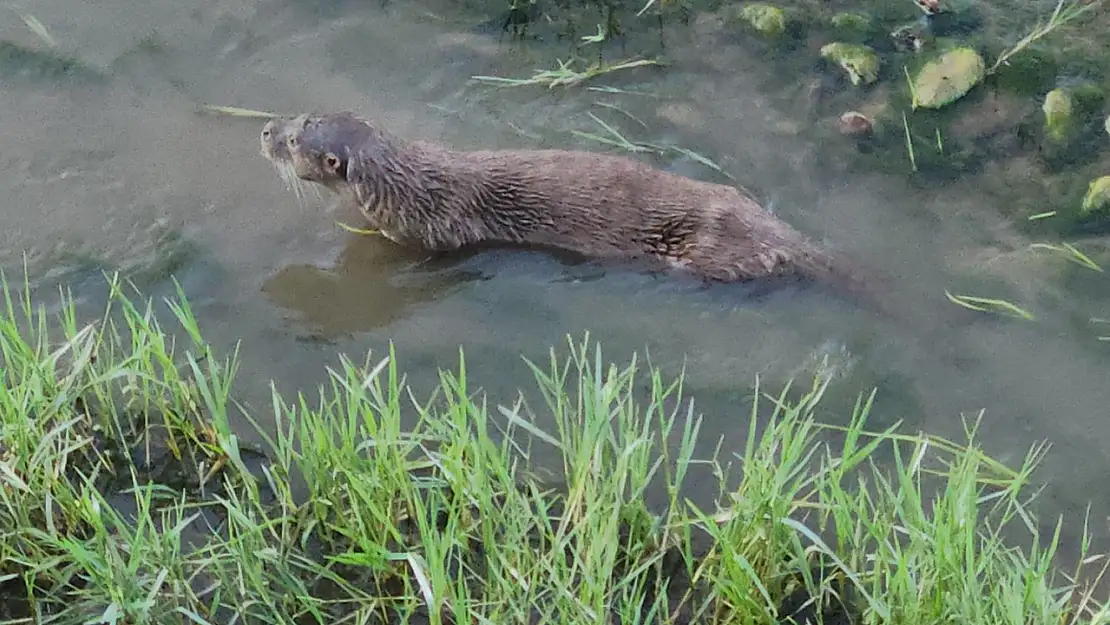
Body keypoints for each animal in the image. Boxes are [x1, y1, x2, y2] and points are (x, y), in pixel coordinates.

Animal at [259, 112, 892, 313]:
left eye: (294, 143)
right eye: (299, 117)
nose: (264, 129)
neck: (413, 183)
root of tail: (772, 230)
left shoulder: (430, 234)